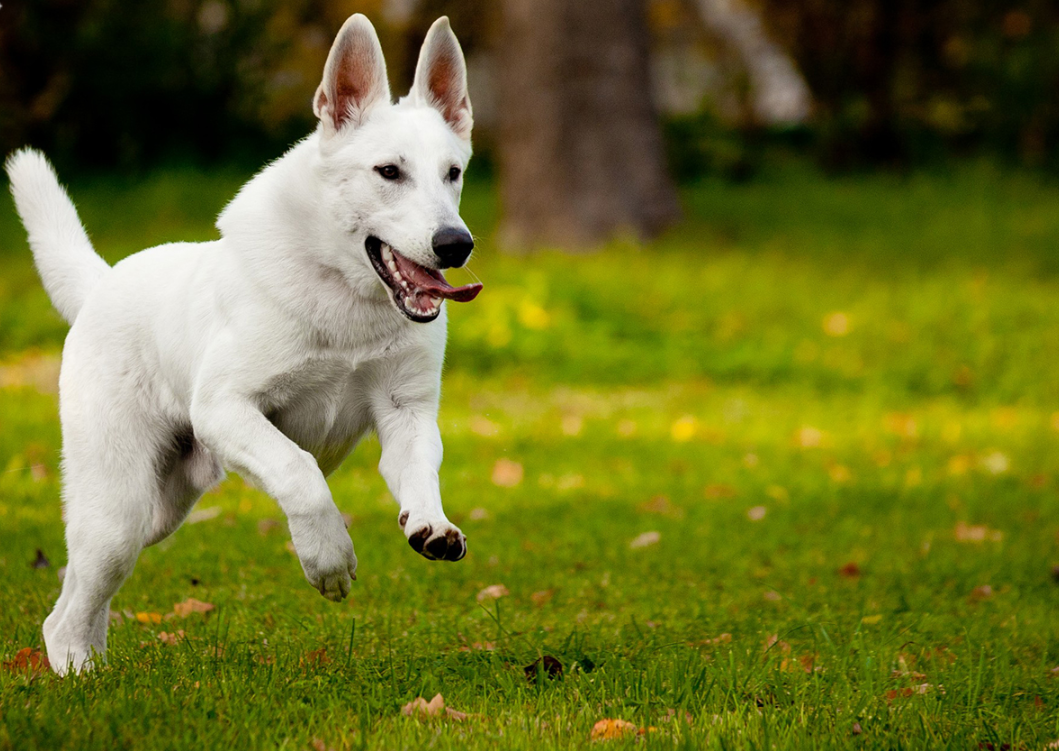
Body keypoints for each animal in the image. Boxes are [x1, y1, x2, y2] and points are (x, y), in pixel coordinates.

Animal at [6, 16, 478, 673]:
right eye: (389, 172)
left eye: (452, 173)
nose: (456, 244)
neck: (345, 298)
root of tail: (101, 283)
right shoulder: (226, 408)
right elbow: (301, 471)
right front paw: (328, 560)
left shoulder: (406, 414)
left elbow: (419, 473)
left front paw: (430, 525)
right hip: (119, 509)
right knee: (68, 608)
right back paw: (78, 672)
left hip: (154, 514)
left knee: (80, 586)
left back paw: (93, 664)